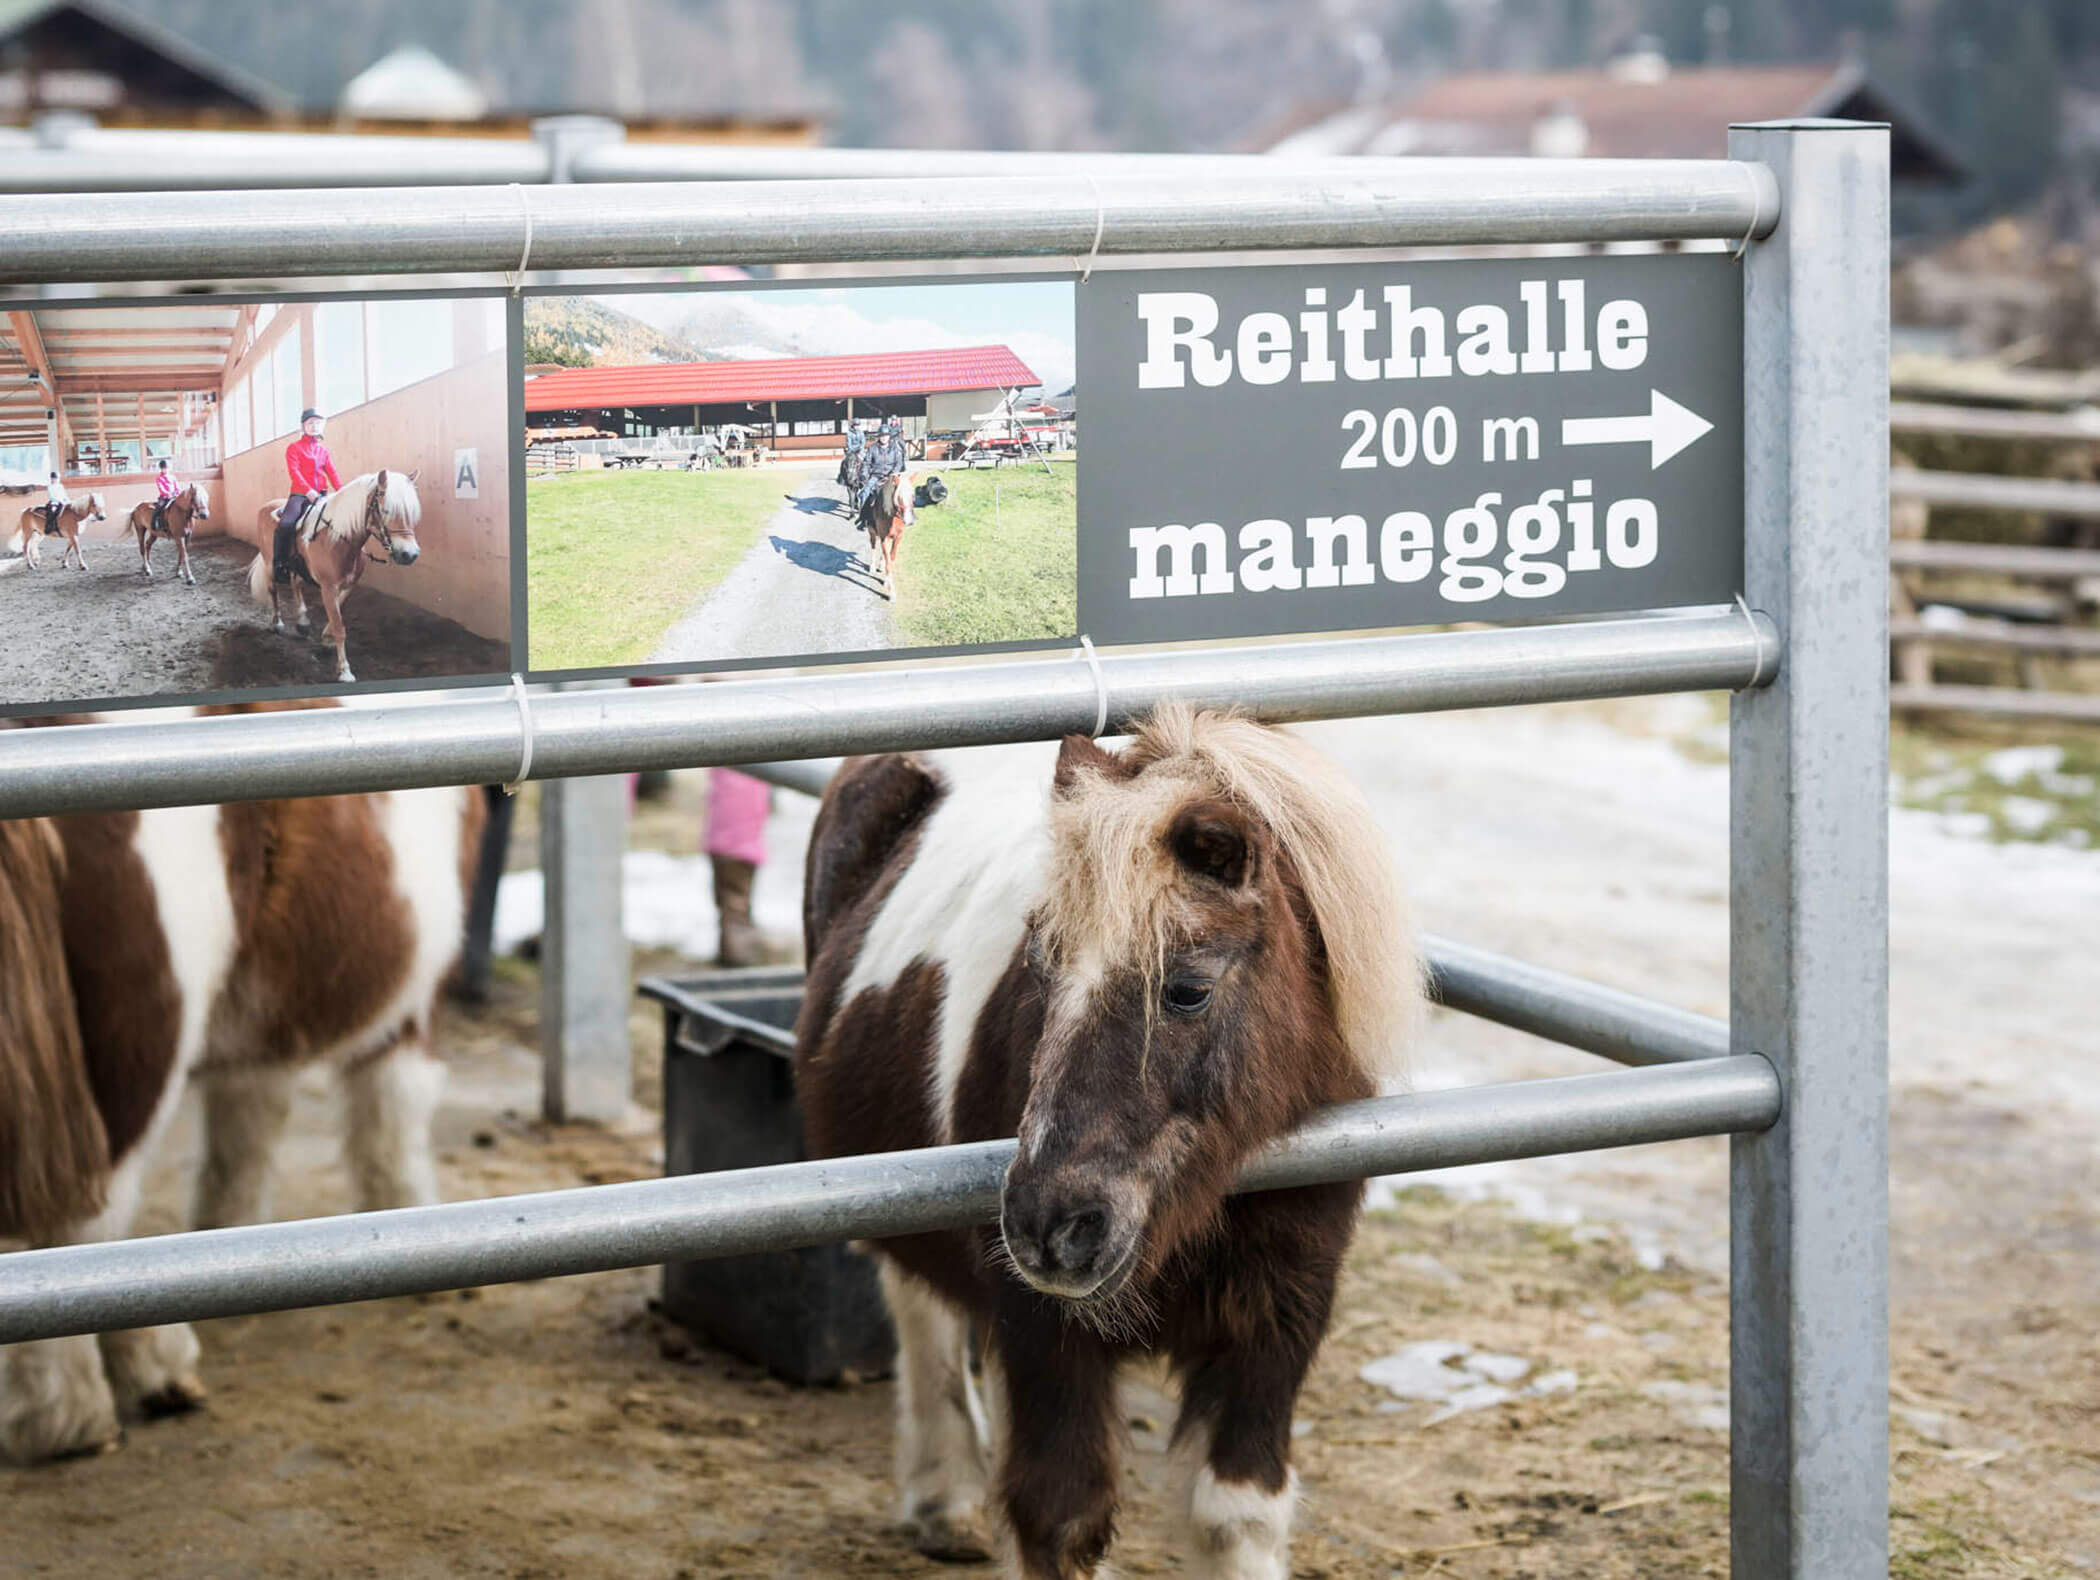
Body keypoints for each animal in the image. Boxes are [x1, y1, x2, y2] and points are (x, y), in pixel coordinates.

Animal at [0, 703, 484, 1466]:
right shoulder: (411, 1012)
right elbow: (391, 1129)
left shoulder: (260, 1033)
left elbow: (242, 1144)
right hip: (138, 1053)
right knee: (81, 1226)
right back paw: (82, 1412)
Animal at [244, 469, 422, 684]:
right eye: (385, 510)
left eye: (412, 512)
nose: (409, 554)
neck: (338, 539)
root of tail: (266, 506)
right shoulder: (328, 588)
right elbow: (340, 627)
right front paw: (344, 671)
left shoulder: (348, 585)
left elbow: (337, 612)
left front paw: (326, 640)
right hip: (270, 563)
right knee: (273, 590)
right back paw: (277, 623)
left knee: (296, 584)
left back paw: (303, 623)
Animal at [794, 705, 1420, 1578]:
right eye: (1037, 965)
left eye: (1186, 988)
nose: (1052, 1227)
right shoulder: (1045, 1333)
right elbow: (1059, 1516)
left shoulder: (1283, 1316)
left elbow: (1235, 1515)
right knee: (920, 1309)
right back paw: (942, 1497)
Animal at [859, 468, 915, 599]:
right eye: (898, 497)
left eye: (913, 495)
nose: (909, 521)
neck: (891, 515)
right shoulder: (883, 537)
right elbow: (888, 561)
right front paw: (892, 593)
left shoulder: (898, 537)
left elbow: (891, 558)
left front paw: (886, 581)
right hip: (872, 533)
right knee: (873, 547)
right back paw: (873, 567)